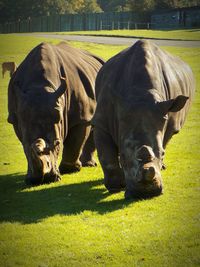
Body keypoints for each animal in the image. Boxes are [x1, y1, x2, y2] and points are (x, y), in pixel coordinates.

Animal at [8, 42, 104, 184]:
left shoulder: (81, 116)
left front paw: (70, 170)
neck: (40, 86)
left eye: (58, 144)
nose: (43, 179)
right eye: (25, 146)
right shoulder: (15, 117)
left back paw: (88, 165)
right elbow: (25, 140)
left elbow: (75, 142)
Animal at [92, 39, 195, 199]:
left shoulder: (163, 112)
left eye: (163, 154)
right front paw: (115, 187)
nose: (145, 193)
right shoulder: (101, 121)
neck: (140, 93)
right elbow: (106, 156)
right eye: (122, 156)